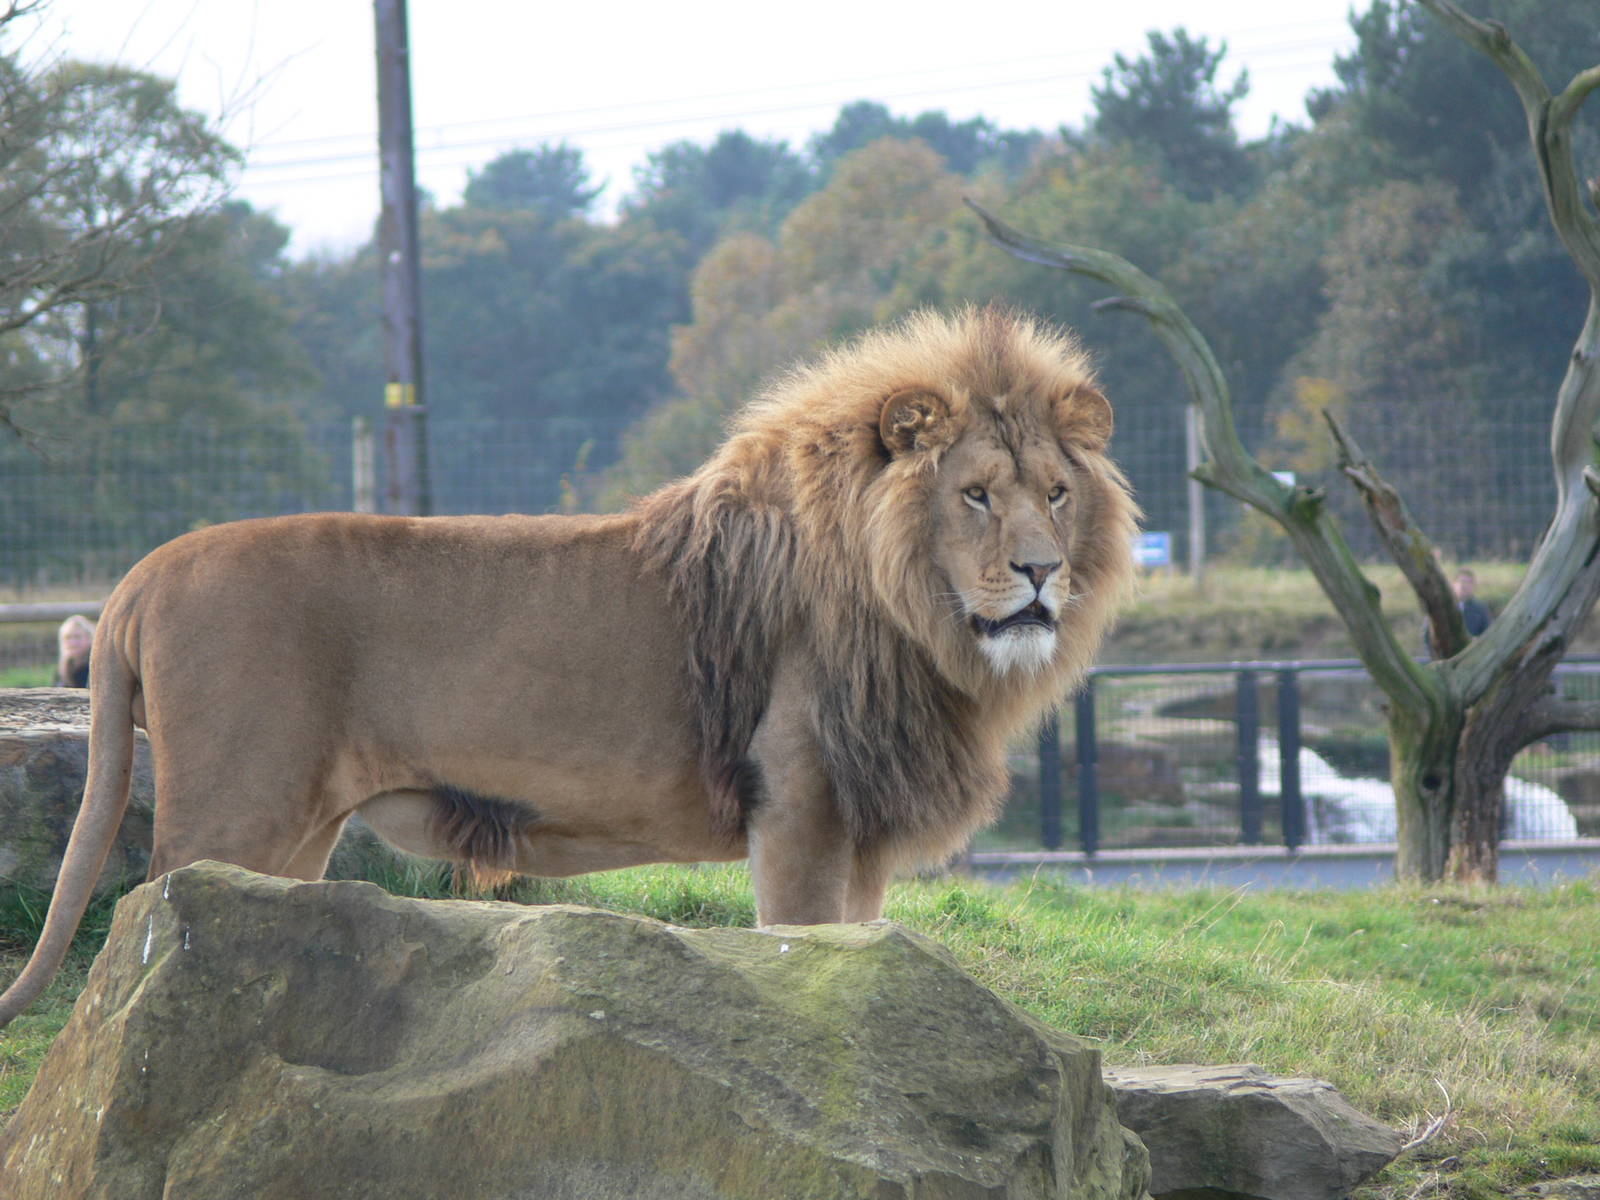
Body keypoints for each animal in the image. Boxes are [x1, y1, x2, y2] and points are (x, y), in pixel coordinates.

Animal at [0, 305, 1137, 1027]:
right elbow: (801, 951)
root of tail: (140, 578)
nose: (1040, 572)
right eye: (976, 495)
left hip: (294, 835)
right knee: (145, 936)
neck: (913, 616)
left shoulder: (858, 829)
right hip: (229, 814)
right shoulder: (801, 809)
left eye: (1056, 492)